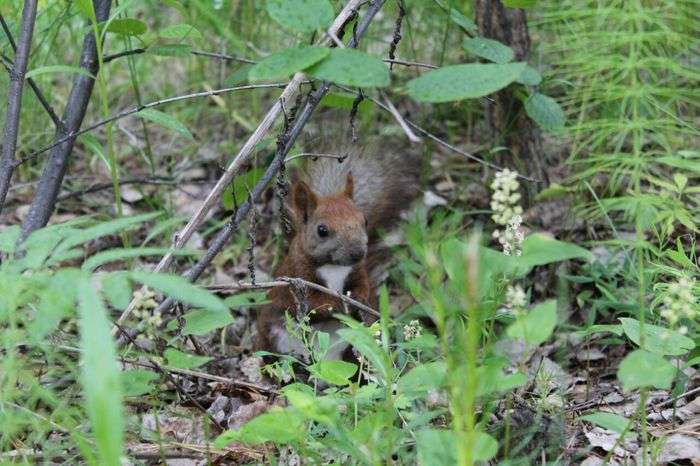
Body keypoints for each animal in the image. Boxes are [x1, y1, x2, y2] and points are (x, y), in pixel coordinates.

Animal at [258, 142, 422, 360]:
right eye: (322, 230)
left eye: (365, 220)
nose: (358, 253)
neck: (334, 267)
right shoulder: (298, 275)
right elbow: (315, 302)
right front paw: (337, 304)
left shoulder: (358, 271)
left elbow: (363, 286)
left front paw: (358, 300)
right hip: (272, 330)